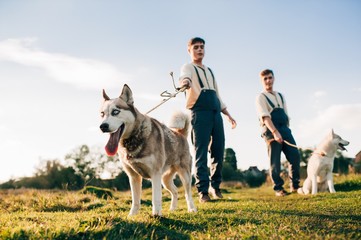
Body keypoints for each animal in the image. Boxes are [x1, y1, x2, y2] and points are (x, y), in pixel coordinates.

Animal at [99, 84, 197, 216]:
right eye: (102, 114)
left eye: (115, 112)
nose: (102, 126)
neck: (133, 139)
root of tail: (180, 134)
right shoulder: (133, 176)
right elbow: (135, 200)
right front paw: (132, 216)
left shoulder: (155, 174)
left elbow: (156, 198)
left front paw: (156, 215)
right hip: (165, 179)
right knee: (175, 190)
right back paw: (172, 208)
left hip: (184, 174)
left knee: (188, 193)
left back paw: (192, 208)